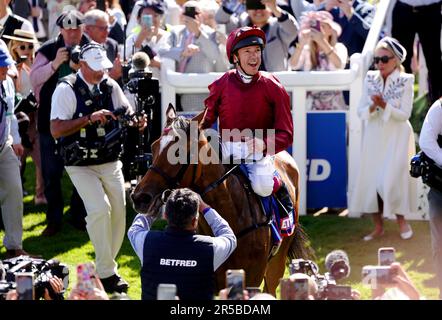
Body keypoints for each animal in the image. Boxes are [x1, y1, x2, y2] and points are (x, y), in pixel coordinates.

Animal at [131, 107, 310, 296]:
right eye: (153, 147)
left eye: (177, 152)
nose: (140, 197)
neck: (234, 215)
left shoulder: (252, 279)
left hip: (277, 261)